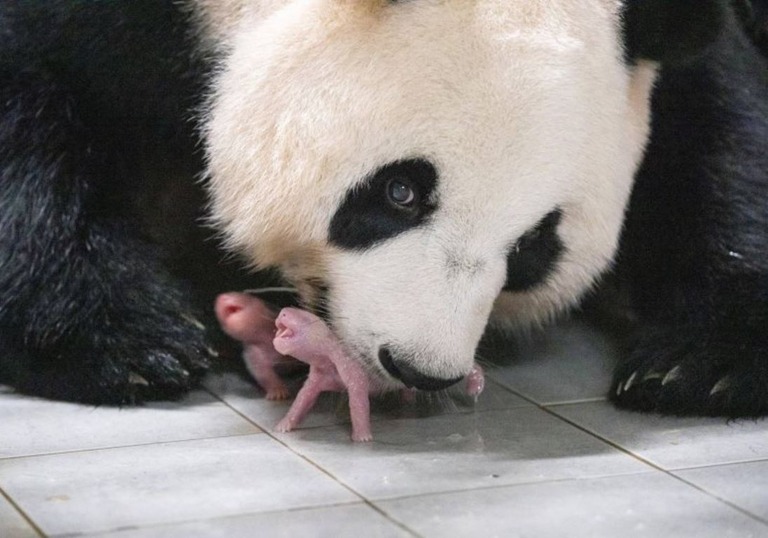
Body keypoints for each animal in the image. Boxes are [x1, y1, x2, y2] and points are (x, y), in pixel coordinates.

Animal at [1, 0, 768, 414]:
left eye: (533, 247)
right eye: (400, 191)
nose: (420, 367)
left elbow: (719, 130)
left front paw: (699, 365)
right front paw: (128, 341)